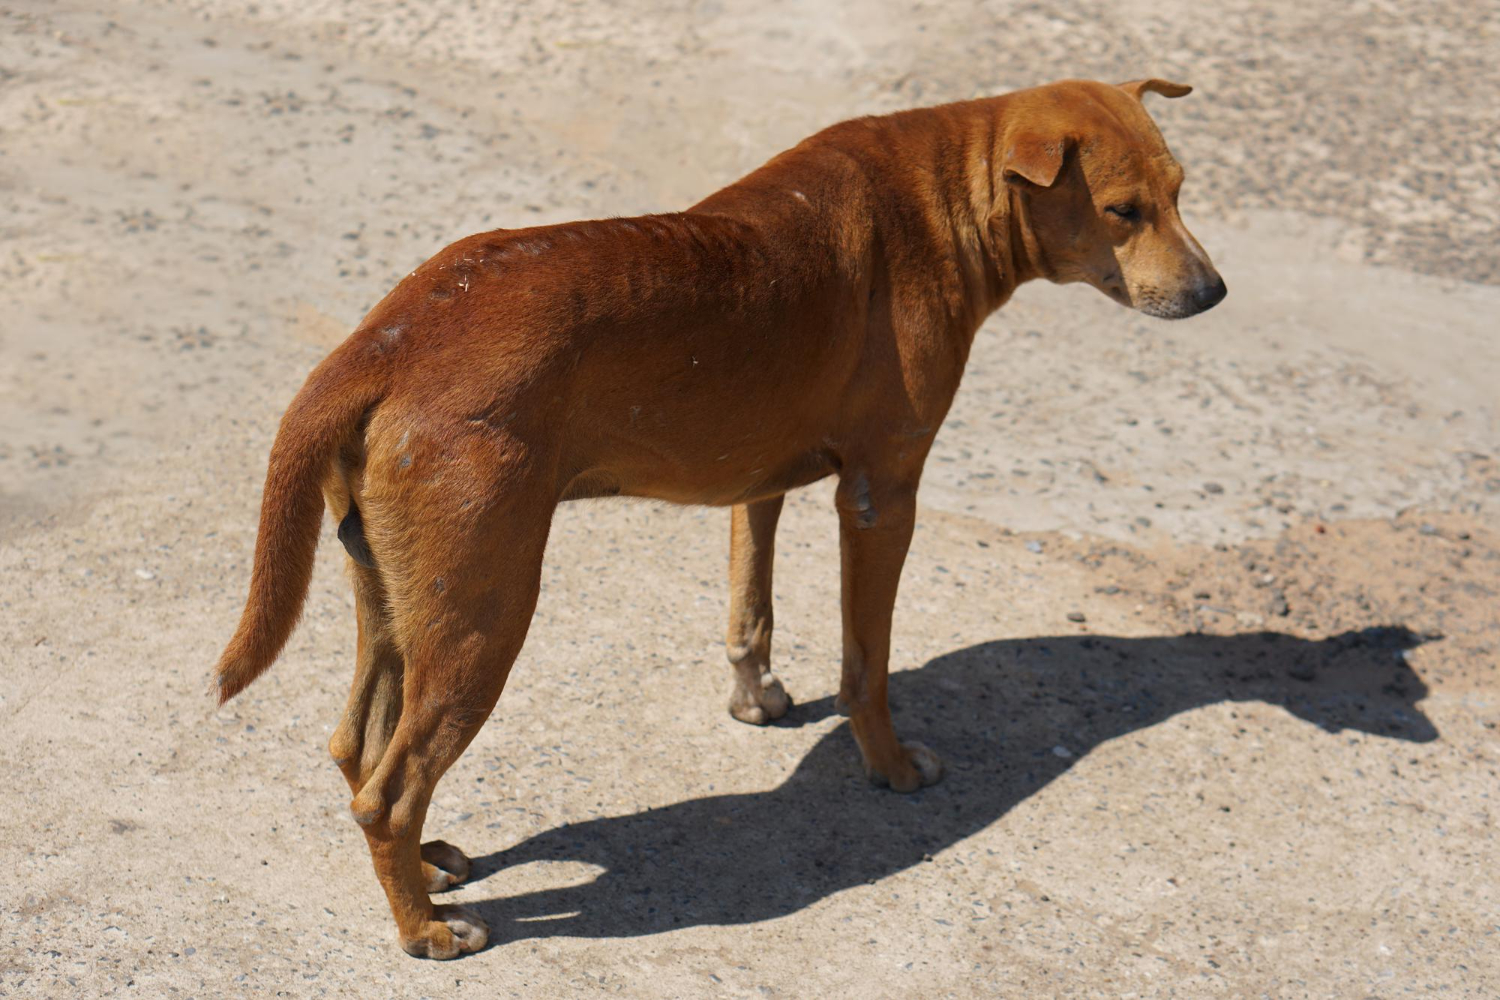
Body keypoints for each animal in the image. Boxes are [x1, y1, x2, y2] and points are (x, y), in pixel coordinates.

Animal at [217, 80, 1224, 959]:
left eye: (1182, 192)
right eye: (1124, 210)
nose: (1214, 293)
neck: (945, 189)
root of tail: (381, 341)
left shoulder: (756, 474)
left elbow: (751, 605)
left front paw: (756, 698)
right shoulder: (882, 494)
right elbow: (867, 666)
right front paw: (890, 764)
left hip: (395, 596)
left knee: (359, 749)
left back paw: (427, 866)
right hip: (482, 615)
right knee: (388, 792)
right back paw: (422, 929)